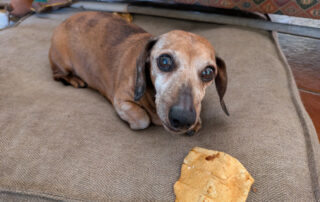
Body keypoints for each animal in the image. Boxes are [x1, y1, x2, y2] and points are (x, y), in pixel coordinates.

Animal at [48, 11, 228, 135]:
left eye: (208, 72)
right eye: (164, 61)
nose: (183, 118)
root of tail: (67, 19)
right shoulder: (121, 100)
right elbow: (143, 120)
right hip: (62, 62)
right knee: (57, 75)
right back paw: (74, 79)